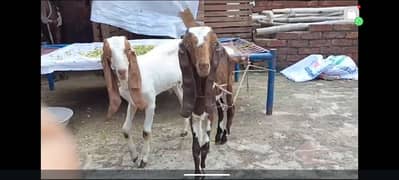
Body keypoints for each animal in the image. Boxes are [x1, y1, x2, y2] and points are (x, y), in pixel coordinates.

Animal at [103, 35, 191, 168]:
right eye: (109, 53)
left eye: (127, 50)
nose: (122, 72)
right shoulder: (132, 103)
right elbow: (125, 129)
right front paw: (134, 157)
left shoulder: (150, 104)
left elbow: (146, 132)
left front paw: (143, 160)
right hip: (177, 85)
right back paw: (185, 131)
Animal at [180, 8, 236, 174]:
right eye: (188, 44)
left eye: (212, 44)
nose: (204, 66)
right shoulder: (194, 113)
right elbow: (195, 147)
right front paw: (198, 172)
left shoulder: (208, 114)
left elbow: (204, 145)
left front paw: (203, 168)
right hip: (216, 96)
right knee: (222, 111)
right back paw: (218, 136)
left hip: (228, 85)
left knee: (230, 109)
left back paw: (224, 136)